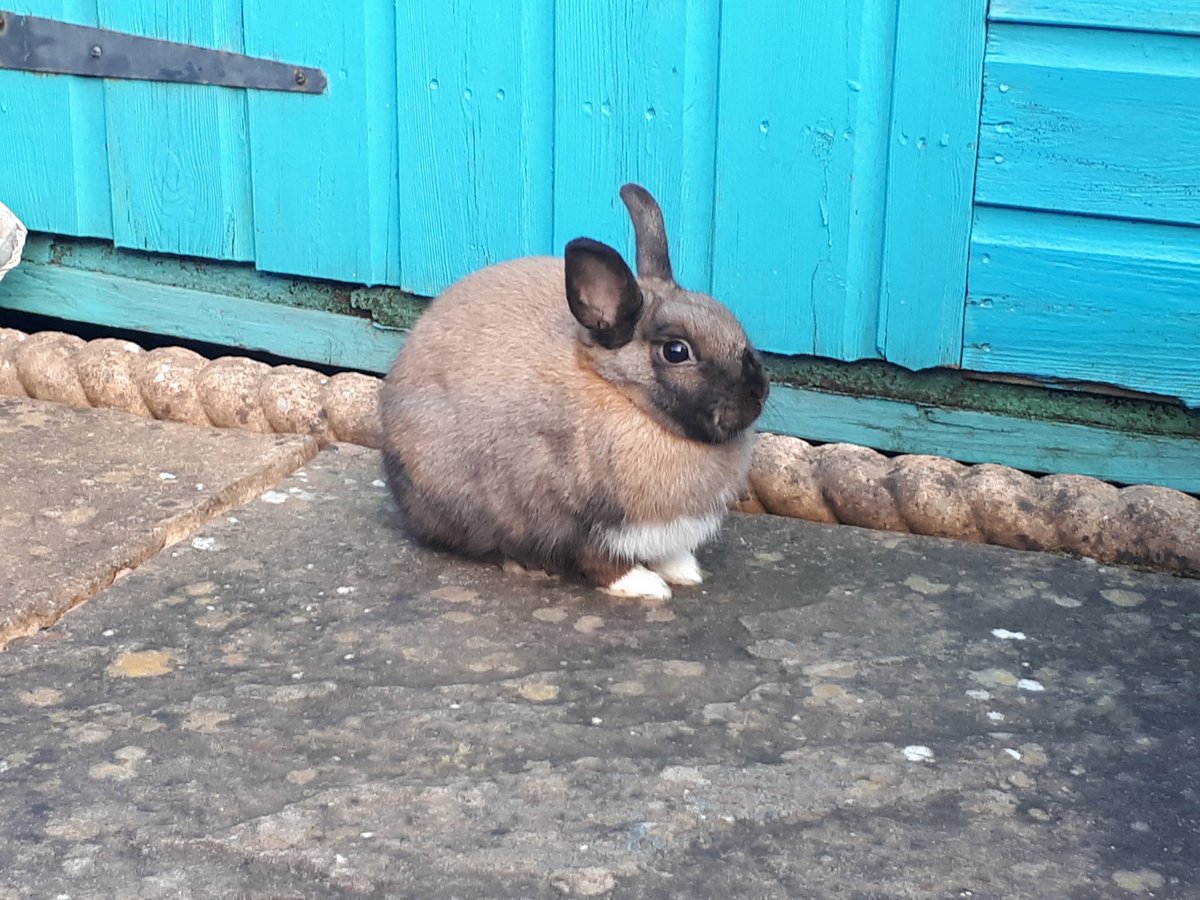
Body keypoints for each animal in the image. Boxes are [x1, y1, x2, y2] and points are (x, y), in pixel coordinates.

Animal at [379, 183, 768, 600]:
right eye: (676, 351)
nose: (759, 392)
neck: (625, 397)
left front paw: (685, 572)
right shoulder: (579, 521)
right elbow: (599, 559)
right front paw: (646, 586)